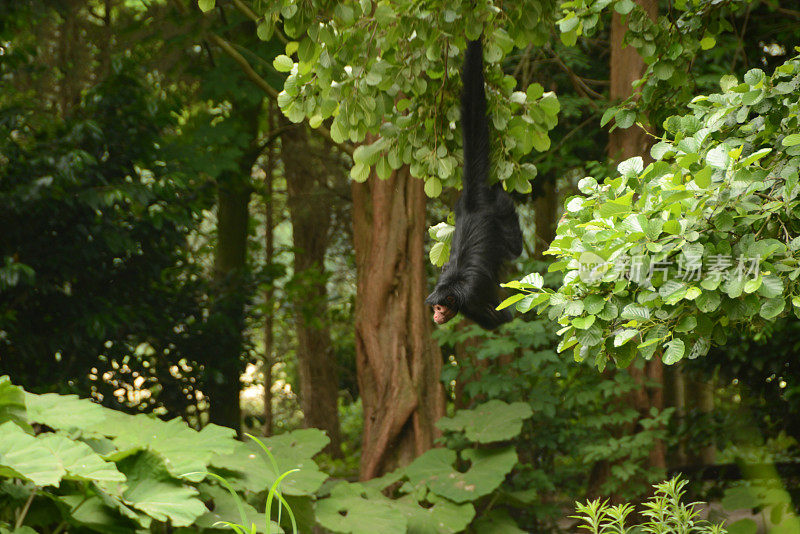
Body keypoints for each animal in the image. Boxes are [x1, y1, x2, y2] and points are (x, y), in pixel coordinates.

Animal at [428, 38, 520, 330]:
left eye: (440, 307)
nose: (435, 315)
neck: (452, 285)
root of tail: (472, 203)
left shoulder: (471, 296)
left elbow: (497, 318)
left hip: (499, 211)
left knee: (515, 245)